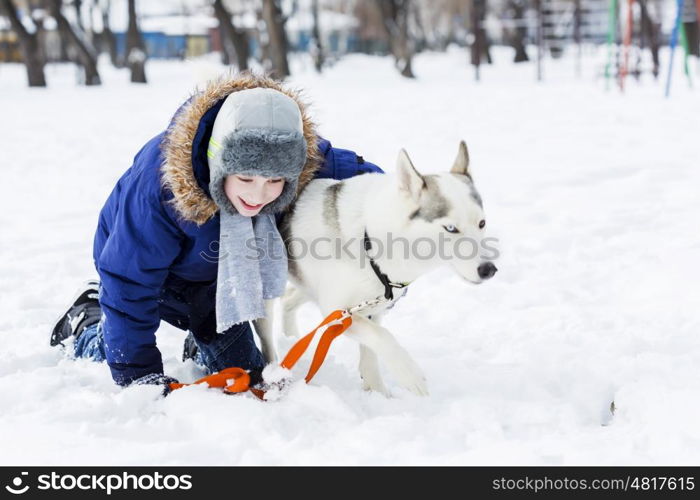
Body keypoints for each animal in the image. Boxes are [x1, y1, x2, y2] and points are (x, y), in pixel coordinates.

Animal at [254, 143, 494, 396]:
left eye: (482, 223)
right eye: (450, 228)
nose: (489, 269)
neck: (369, 241)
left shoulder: (373, 307)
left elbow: (371, 351)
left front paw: (379, 393)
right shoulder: (337, 312)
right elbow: (383, 337)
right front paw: (409, 373)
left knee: (289, 299)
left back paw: (293, 340)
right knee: (268, 334)